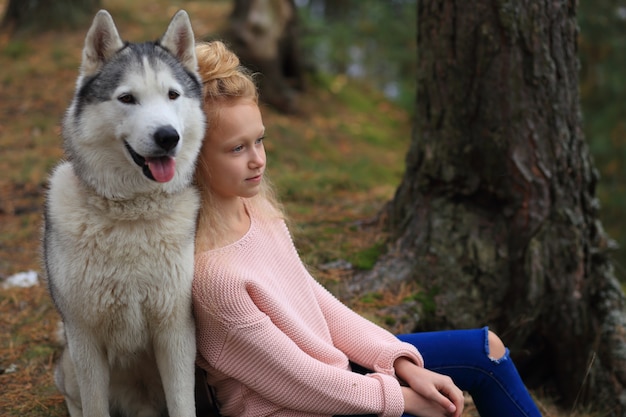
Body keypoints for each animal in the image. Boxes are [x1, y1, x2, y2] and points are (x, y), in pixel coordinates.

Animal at [44, 9, 205, 416]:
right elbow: (94, 406)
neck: (132, 213)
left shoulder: (176, 332)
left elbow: (183, 405)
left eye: (172, 95)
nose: (168, 136)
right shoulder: (85, 339)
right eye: (127, 98)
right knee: (74, 401)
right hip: (70, 364)